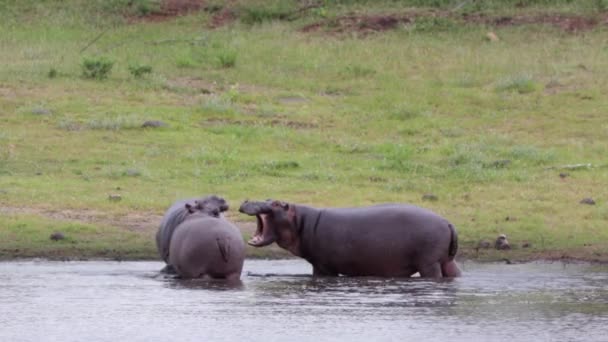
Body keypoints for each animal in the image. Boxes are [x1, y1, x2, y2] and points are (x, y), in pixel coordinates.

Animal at [238, 200, 460, 278]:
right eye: (267, 198)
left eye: (276, 203)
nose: (247, 201)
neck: (301, 222)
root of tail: (447, 222)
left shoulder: (324, 267)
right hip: (446, 261)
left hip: (428, 263)